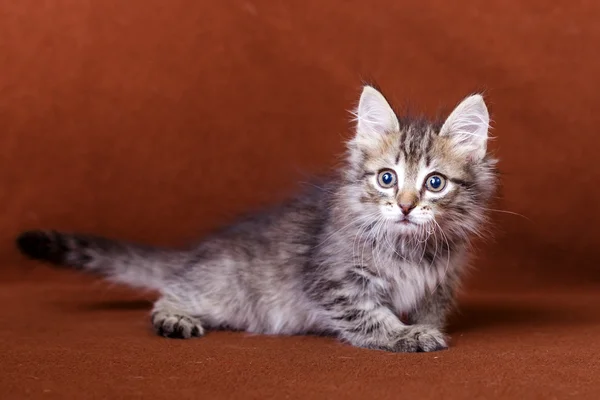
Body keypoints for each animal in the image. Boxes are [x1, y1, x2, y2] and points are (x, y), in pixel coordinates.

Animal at [17, 85, 496, 354]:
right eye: (387, 178)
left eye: (435, 183)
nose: (406, 206)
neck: (411, 249)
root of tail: (199, 254)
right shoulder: (335, 280)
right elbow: (370, 317)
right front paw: (406, 336)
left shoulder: (440, 282)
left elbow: (429, 311)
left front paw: (422, 327)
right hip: (223, 288)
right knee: (170, 293)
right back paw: (174, 317)